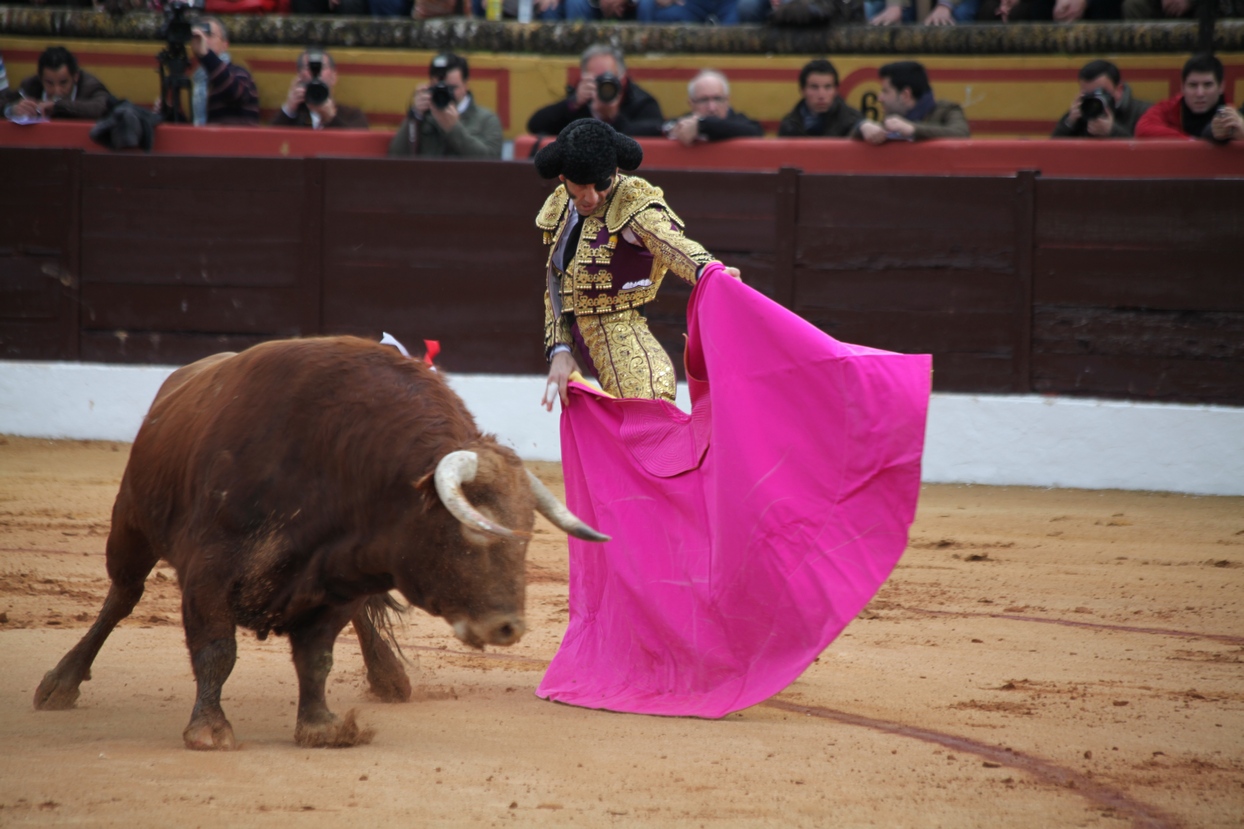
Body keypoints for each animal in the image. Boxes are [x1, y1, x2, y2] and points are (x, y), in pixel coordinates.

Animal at [34, 333, 607, 746]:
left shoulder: (336, 579)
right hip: (130, 522)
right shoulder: (209, 572)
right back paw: (60, 683)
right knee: (122, 596)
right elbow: (216, 649)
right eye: (471, 529)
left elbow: (317, 657)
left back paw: (388, 677)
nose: (509, 628)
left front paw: (322, 727)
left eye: (526, 537)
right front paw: (210, 730)